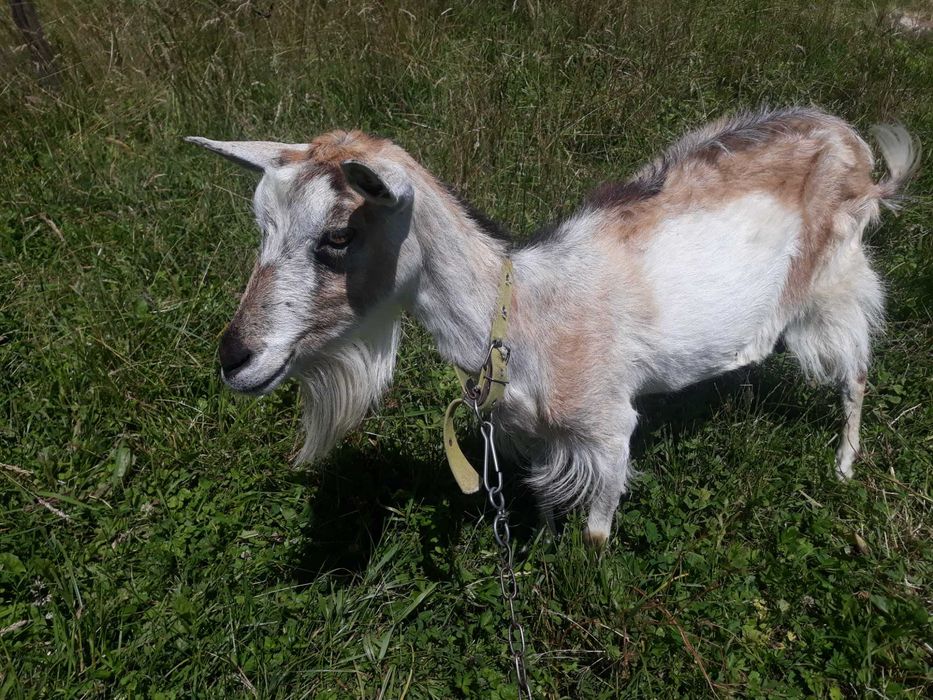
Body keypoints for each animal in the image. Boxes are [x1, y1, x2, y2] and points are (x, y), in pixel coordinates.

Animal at [187, 107, 918, 545]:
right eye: (262, 226)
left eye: (338, 236)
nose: (234, 357)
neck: (522, 310)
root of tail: (852, 144)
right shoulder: (534, 436)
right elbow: (542, 504)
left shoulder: (608, 429)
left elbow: (595, 531)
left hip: (837, 279)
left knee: (855, 373)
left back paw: (844, 464)